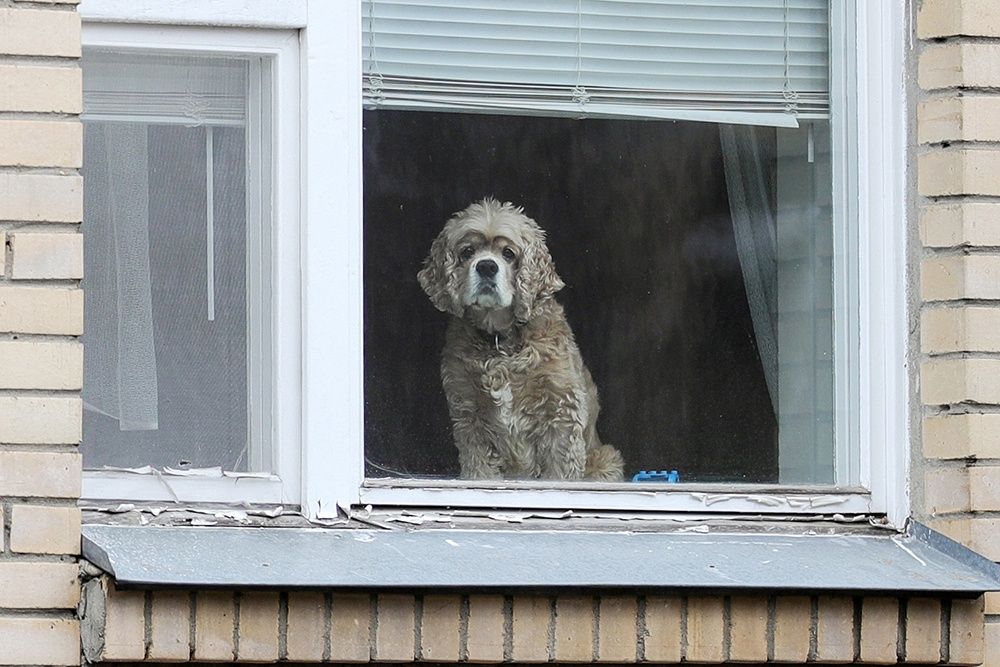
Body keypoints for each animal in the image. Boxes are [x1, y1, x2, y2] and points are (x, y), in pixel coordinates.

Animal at [416, 196, 620, 482]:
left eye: (508, 254)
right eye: (467, 252)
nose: (486, 266)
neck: (500, 342)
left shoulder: (561, 413)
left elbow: (559, 472)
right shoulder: (469, 416)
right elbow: (479, 470)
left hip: (607, 459)